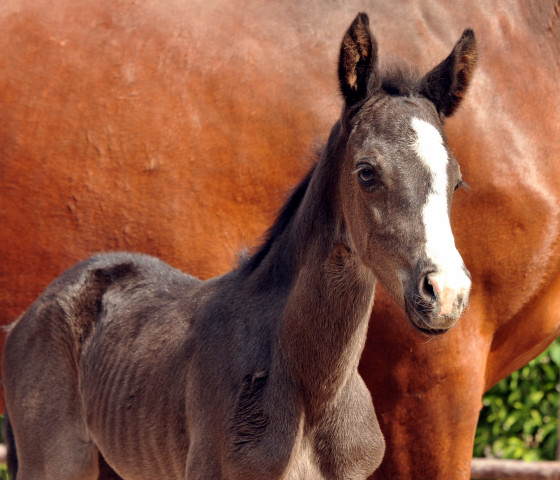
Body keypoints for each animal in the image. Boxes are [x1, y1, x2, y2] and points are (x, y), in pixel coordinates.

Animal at [0, 0, 556, 480]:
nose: (446, 295)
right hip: (56, 462)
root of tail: (34, 311)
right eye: (367, 172)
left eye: (457, 181)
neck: (311, 393)